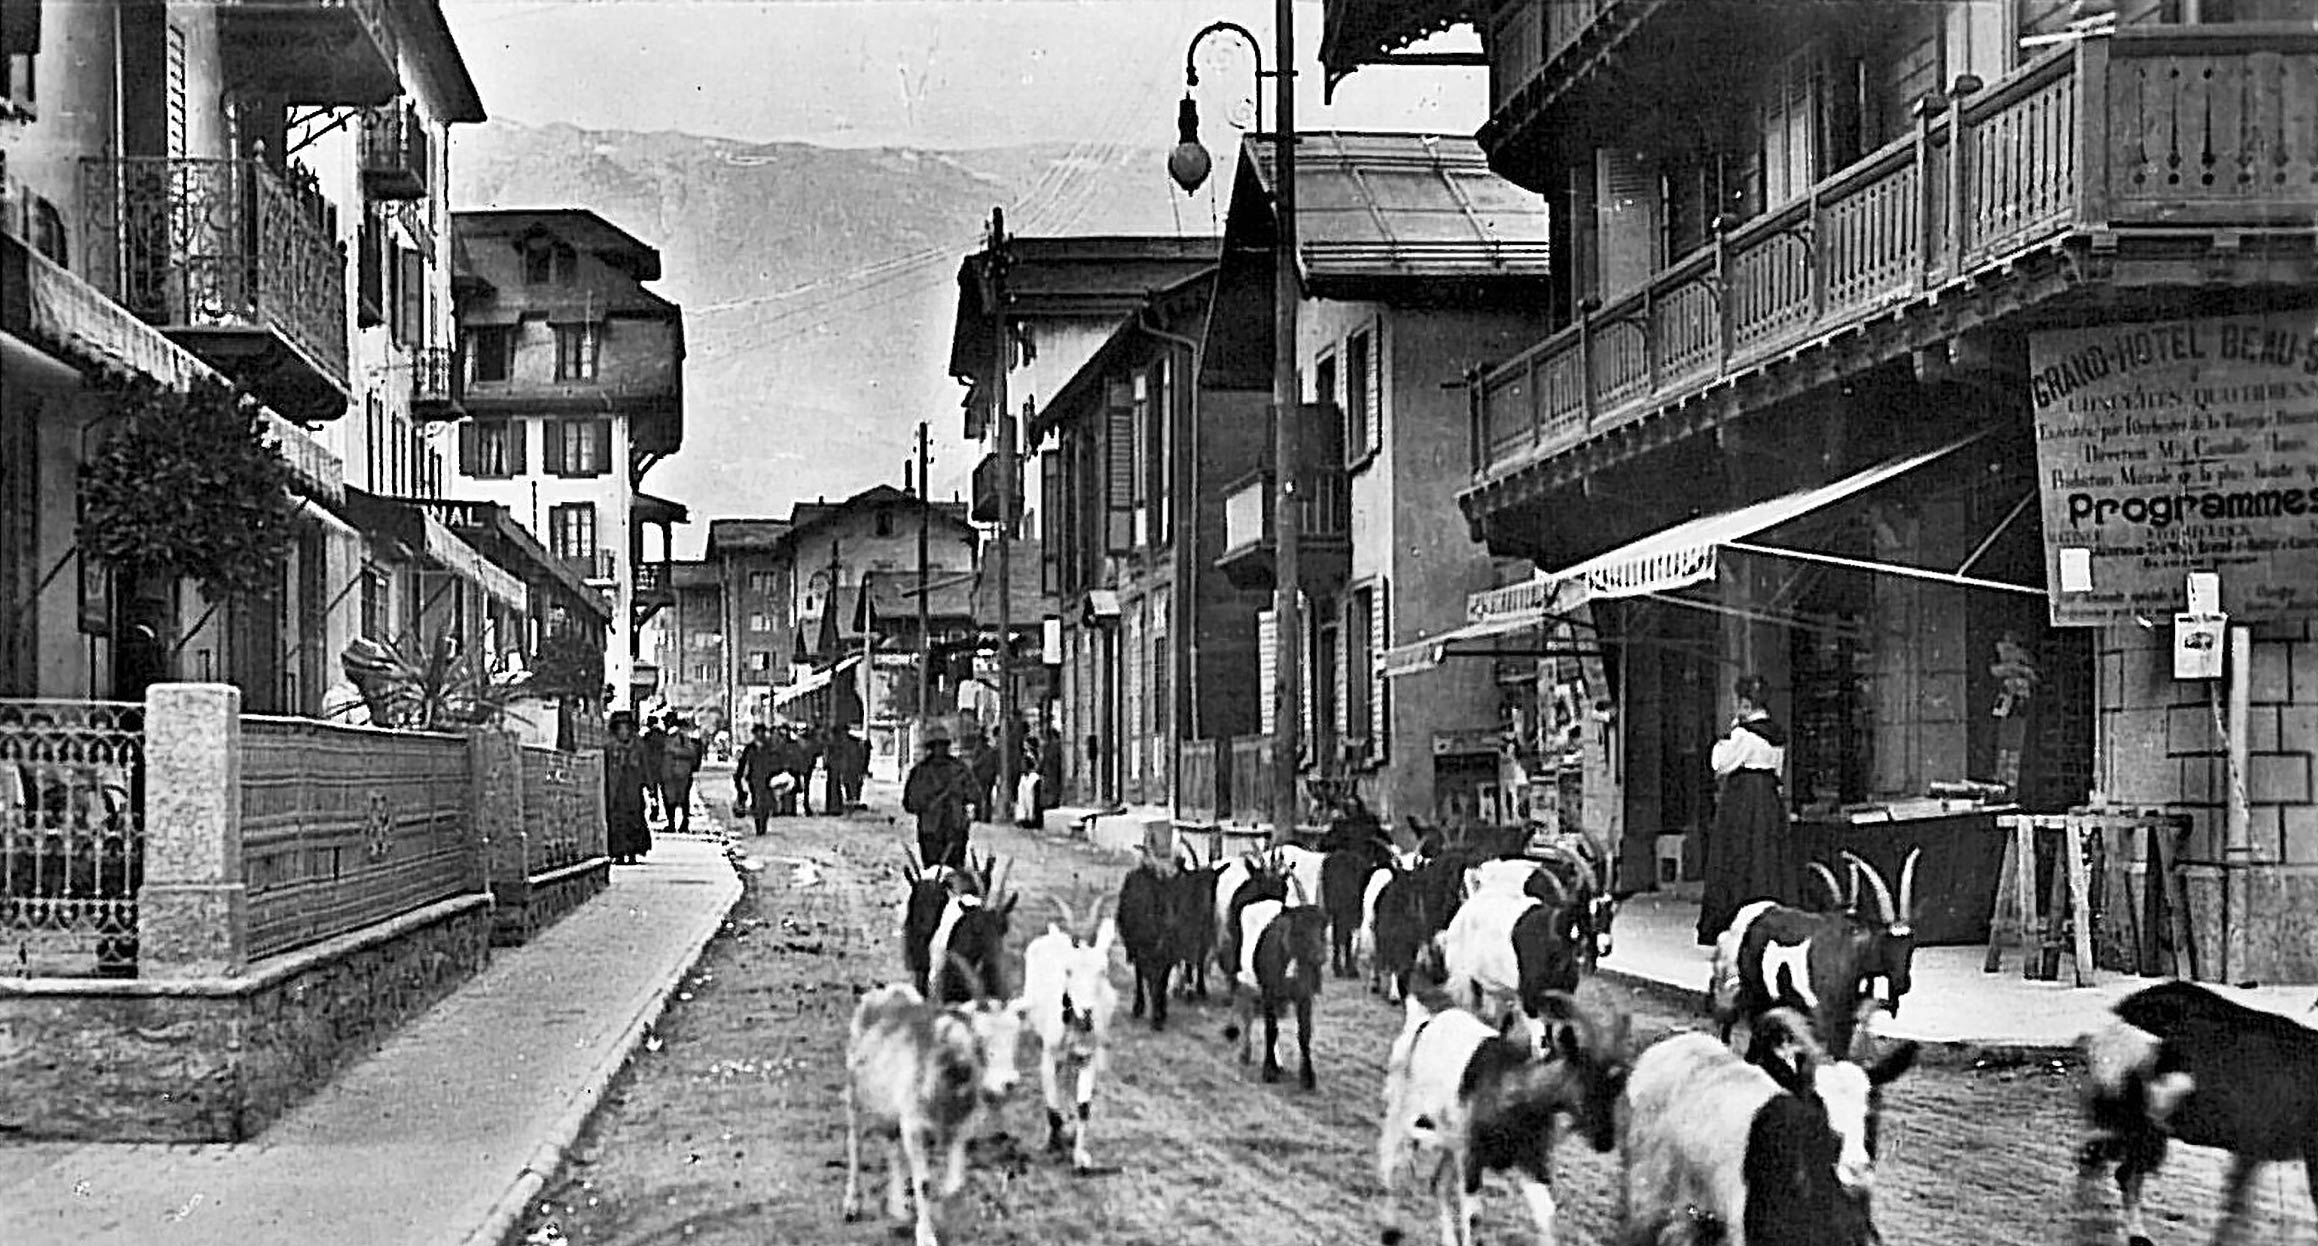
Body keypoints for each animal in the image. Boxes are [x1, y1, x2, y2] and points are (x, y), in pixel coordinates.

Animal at [839, 977, 1029, 1241]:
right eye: (979, 1038)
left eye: (1015, 1036)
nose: (1008, 1082)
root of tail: (888, 992)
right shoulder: (914, 1126)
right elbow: (924, 1183)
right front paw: (926, 1235)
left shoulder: (959, 1129)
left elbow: (955, 1185)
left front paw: (952, 1223)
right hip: (855, 1093)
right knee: (855, 1143)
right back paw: (852, 1206)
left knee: (891, 1144)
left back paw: (898, 1208)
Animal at [1019, 893, 1117, 1162]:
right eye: (1068, 970)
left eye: (1103, 970)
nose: (1087, 1010)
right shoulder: (1048, 1054)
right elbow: (1051, 1107)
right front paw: (1052, 1141)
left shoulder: (1087, 1057)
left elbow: (1084, 1107)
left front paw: (1079, 1157)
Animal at [1372, 986, 1631, 1232]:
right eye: (1587, 1079)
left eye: (1617, 1086)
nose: (1605, 1141)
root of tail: (1424, 1021)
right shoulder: (1471, 1156)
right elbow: (1473, 1217)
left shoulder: (1531, 1161)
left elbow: (1547, 1216)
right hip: (1405, 1101)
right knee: (1393, 1147)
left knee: (1438, 1184)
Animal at [2076, 977, 2318, 1241]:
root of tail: (2117, 1015)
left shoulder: (2255, 1150)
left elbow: (2235, 1201)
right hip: (2144, 1124)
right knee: (2125, 1171)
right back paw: (2137, 1234)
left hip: (2130, 1115)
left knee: (2106, 1148)